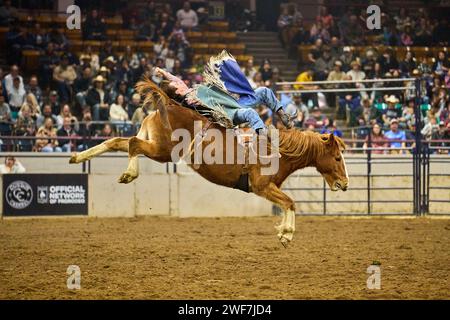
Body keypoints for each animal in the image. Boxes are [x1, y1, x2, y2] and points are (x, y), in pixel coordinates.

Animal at [69, 79, 348, 245]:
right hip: (162, 150)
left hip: (151, 140)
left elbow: (289, 203)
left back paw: (78, 157)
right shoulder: (262, 186)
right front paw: (287, 234)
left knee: (119, 141)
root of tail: (167, 103)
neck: (276, 150)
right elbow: (290, 202)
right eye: (337, 157)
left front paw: (283, 232)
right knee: (133, 145)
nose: (345, 184)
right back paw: (128, 174)